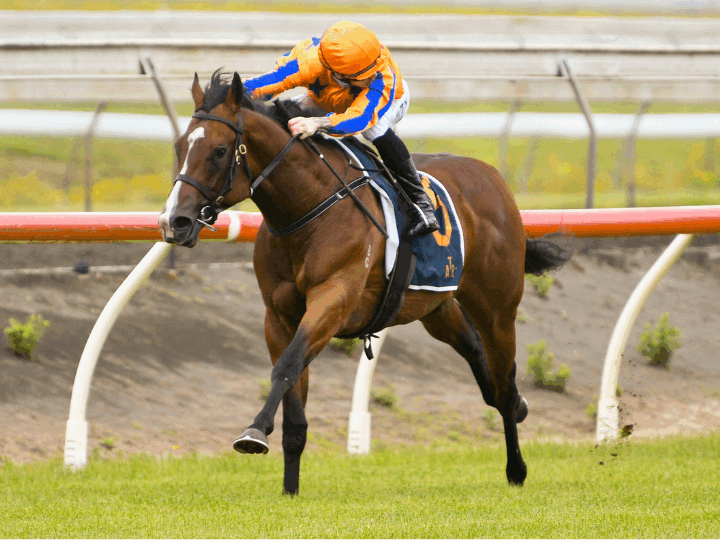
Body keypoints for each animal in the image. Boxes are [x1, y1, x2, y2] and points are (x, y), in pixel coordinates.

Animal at [158, 70, 571, 495]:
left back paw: (516, 467)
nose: (175, 221)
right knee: (478, 355)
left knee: (504, 383)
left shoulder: (334, 301)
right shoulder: (277, 316)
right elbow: (294, 402)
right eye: (179, 146)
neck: (308, 209)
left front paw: (254, 433)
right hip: (436, 307)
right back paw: (519, 408)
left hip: (498, 308)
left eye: (219, 151)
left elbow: (287, 366)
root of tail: (493, 178)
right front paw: (290, 488)